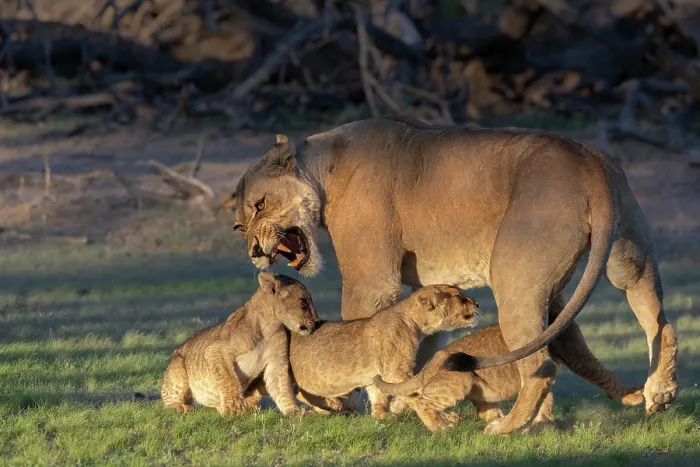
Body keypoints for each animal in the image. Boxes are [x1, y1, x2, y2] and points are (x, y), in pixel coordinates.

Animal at [160, 273, 317, 416]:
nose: (316, 320)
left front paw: (294, 411)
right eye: (303, 302)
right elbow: (229, 379)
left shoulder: (276, 362)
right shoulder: (215, 349)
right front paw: (233, 408)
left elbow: (281, 387)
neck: (270, 326)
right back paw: (181, 407)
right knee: (167, 401)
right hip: (177, 367)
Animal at [373, 324, 645, 432]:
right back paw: (441, 426)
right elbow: (602, 373)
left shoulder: (543, 370)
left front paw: (544, 422)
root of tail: (435, 358)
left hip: (480, 391)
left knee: (485, 413)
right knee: (423, 401)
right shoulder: (573, 351)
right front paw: (634, 396)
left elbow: (544, 399)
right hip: (460, 380)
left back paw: (498, 423)